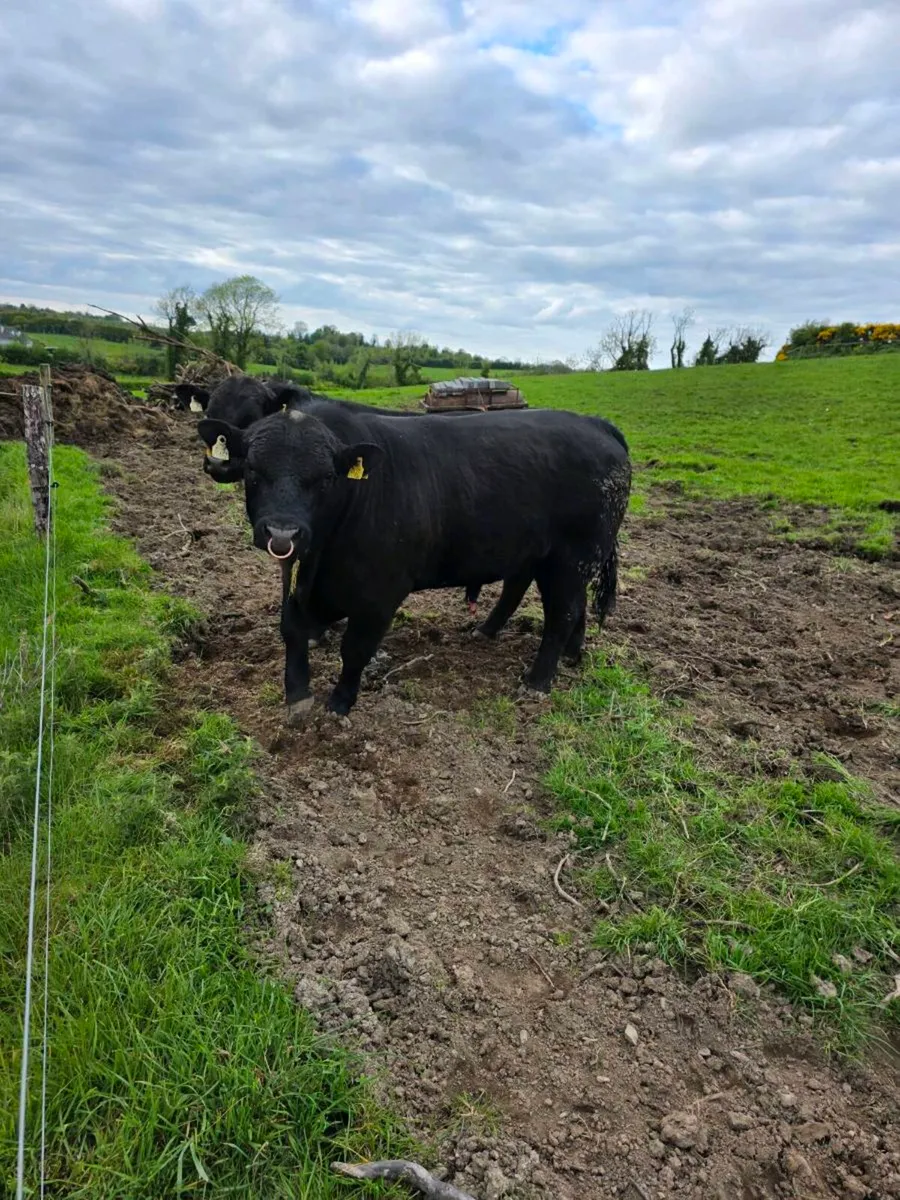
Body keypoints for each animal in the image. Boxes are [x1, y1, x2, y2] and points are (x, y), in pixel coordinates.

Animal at [197, 406, 631, 724]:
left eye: (324, 477)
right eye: (253, 470)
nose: (283, 533)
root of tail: (594, 422)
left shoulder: (381, 594)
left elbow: (355, 649)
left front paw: (339, 703)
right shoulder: (307, 580)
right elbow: (291, 627)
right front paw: (298, 692)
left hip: (572, 557)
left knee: (562, 614)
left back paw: (538, 680)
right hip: (544, 554)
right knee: (548, 599)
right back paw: (533, 643)